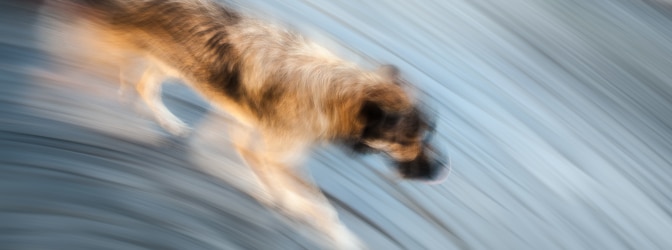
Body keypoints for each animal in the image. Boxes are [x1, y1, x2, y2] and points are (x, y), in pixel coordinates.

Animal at [47, 0, 452, 248]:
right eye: (409, 139)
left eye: (429, 134)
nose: (443, 170)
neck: (335, 91)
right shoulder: (275, 153)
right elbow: (323, 207)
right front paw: (334, 233)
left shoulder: (248, 134)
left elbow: (269, 176)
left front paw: (280, 200)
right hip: (124, 50)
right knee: (87, 63)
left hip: (179, 65)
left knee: (143, 84)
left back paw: (167, 120)